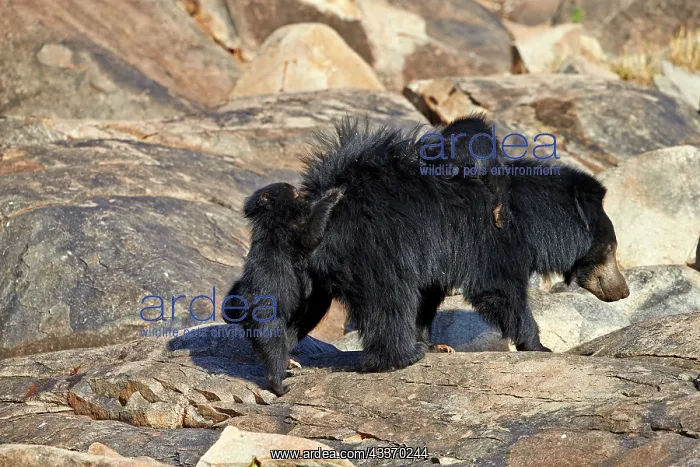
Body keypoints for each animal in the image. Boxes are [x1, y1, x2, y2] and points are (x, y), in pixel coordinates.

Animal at [222, 182, 343, 395]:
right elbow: (311, 234)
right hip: (270, 322)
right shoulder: (290, 234)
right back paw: (280, 385)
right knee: (274, 351)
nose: (300, 189)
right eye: (291, 189)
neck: (273, 217)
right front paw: (333, 195)